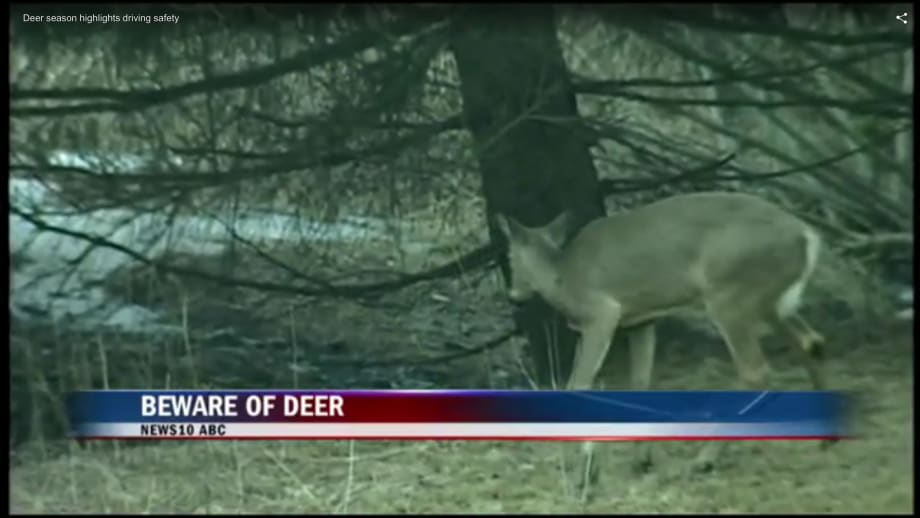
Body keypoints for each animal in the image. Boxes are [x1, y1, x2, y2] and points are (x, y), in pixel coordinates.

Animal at [495, 191, 829, 501]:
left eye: (510, 257)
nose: (513, 295)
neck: (563, 278)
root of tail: (807, 236)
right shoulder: (642, 321)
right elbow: (640, 382)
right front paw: (641, 460)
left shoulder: (601, 315)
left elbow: (577, 386)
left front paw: (586, 474)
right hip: (770, 303)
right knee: (812, 342)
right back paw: (824, 436)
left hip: (730, 293)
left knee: (756, 371)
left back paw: (705, 459)